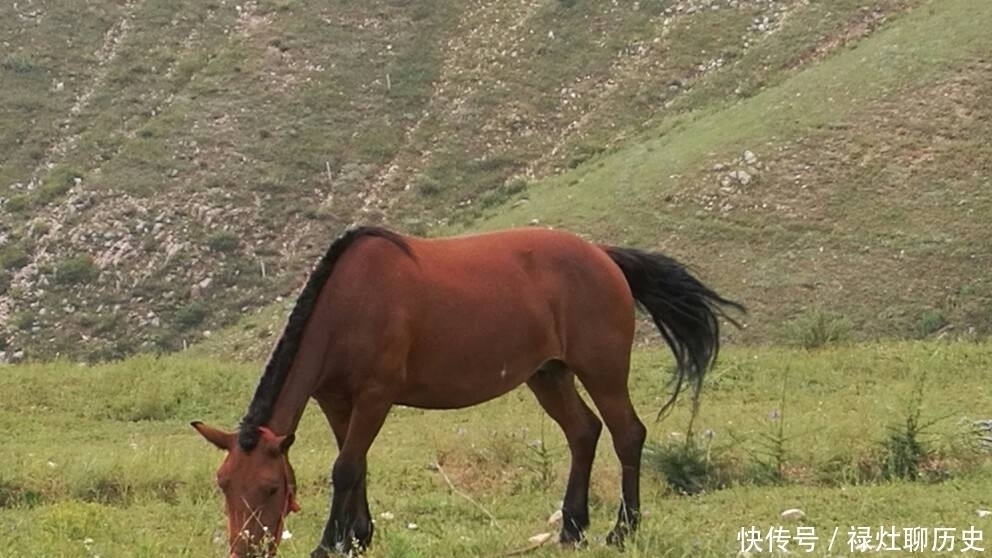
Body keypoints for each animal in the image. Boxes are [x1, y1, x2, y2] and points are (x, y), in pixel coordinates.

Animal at [192, 225, 743, 558]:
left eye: (271, 488)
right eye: (223, 485)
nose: (244, 551)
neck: (348, 304)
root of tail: (603, 256)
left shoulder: (375, 397)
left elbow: (345, 468)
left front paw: (331, 544)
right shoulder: (335, 400)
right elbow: (357, 466)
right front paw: (359, 537)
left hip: (602, 370)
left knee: (627, 433)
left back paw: (622, 529)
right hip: (549, 374)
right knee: (583, 433)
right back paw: (572, 527)